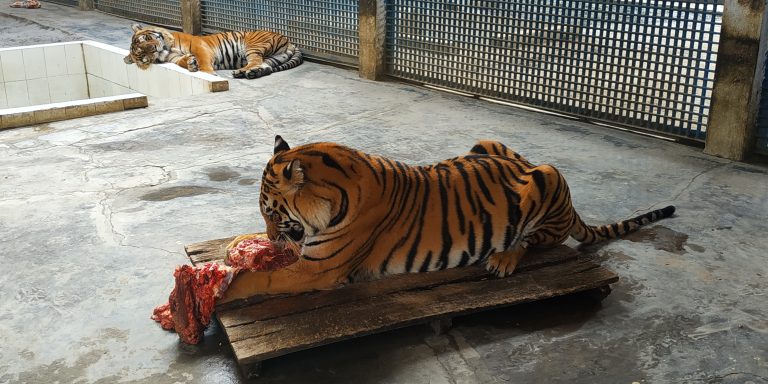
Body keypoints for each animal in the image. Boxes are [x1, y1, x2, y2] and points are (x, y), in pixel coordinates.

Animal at [121, 22, 302, 79]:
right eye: (143, 55)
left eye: (145, 39)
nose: (153, 48)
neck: (167, 49)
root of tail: (289, 41)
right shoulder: (175, 58)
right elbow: (182, 62)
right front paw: (190, 63)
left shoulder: (199, 47)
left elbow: (203, 62)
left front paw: (207, 74)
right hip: (274, 57)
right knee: (265, 66)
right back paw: (249, 73)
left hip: (253, 45)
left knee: (256, 61)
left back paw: (242, 72)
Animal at [219, 136, 676, 302]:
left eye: (270, 211)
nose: (270, 235)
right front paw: (234, 244)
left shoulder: (317, 269)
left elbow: (257, 280)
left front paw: (223, 290)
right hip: (486, 144)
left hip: (548, 176)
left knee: (536, 239)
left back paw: (503, 260)